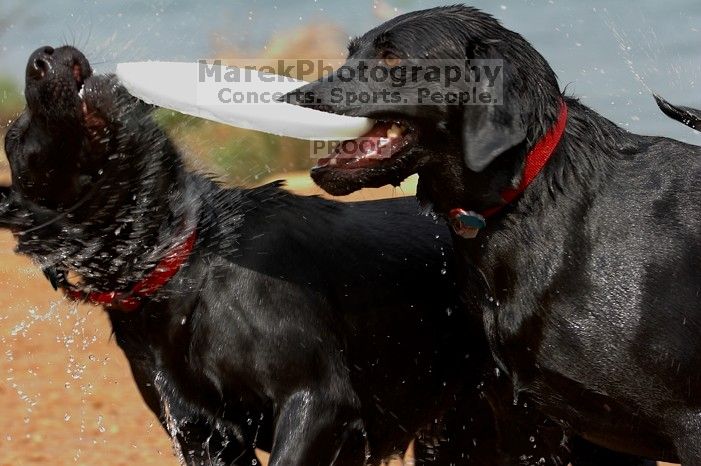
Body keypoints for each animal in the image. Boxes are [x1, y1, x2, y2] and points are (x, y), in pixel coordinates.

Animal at [284, 4, 696, 466]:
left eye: (392, 59)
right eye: (351, 53)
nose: (294, 98)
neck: (531, 195)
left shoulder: (687, 421)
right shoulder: (527, 420)